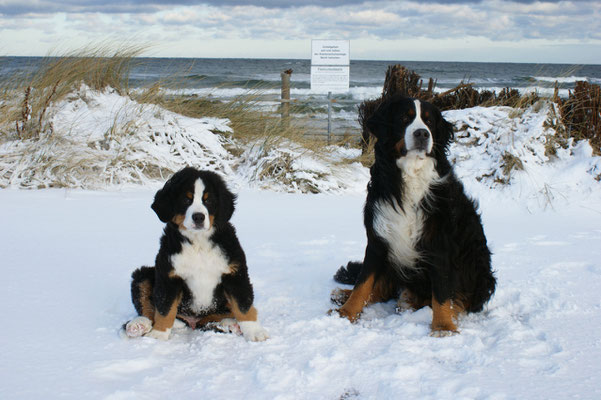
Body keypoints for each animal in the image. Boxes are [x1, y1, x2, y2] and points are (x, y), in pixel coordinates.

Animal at [123, 167, 268, 342]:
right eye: (186, 200)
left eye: (208, 201)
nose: (198, 217)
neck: (198, 243)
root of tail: (192, 321)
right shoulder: (168, 275)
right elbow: (164, 307)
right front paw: (159, 333)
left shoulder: (235, 273)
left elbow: (243, 305)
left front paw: (255, 332)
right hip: (143, 274)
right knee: (148, 309)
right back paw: (138, 325)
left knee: (219, 316)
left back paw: (231, 325)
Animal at [330, 95, 494, 336]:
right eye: (404, 118)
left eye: (429, 122)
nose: (422, 134)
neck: (412, 175)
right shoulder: (379, 238)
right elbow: (363, 282)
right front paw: (346, 313)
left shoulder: (441, 243)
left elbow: (443, 291)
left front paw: (443, 326)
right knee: (383, 289)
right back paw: (344, 295)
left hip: (479, 268)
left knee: (460, 298)